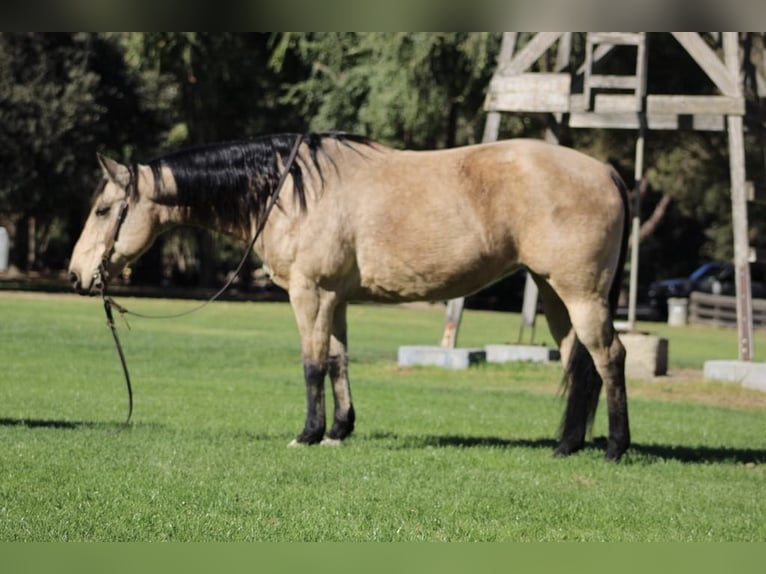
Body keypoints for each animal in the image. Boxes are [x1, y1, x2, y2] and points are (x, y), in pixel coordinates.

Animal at [68, 132, 631, 460]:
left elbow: (312, 363)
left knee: (609, 356)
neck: (289, 190)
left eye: (102, 209)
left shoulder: (310, 293)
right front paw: (339, 430)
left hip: (579, 293)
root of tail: (606, 171)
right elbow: (338, 361)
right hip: (553, 293)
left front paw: (308, 433)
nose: (76, 275)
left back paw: (615, 448)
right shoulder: (334, 298)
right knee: (577, 360)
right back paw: (567, 444)